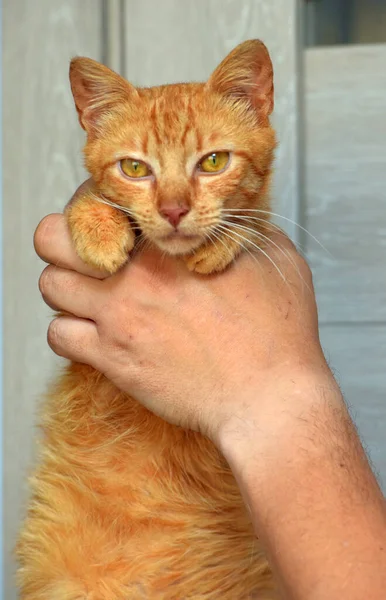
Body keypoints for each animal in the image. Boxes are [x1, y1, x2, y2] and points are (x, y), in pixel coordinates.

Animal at [17, 39, 278, 596]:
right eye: (135, 169)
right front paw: (99, 229)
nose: (175, 210)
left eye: (213, 161)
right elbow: (88, 197)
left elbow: (257, 221)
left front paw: (223, 241)